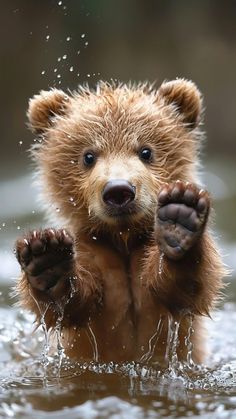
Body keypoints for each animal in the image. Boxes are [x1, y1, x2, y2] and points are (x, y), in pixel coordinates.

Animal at [14, 80, 225, 366]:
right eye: (88, 156)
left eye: (146, 151)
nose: (118, 190)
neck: (123, 237)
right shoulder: (93, 250)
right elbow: (70, 304)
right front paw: (48, 258)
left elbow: (186, 289)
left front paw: (180, 220)